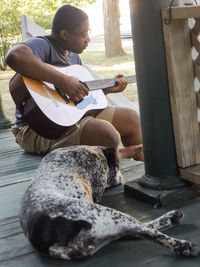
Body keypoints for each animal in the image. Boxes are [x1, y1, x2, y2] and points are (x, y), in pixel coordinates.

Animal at [19, 146, 200, 260]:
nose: (120, 176)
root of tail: (46, 232)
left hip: (106, 229)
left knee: (137, 231)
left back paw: (173, 218)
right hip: (109, 215)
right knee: (148, 231)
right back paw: (182, 242)